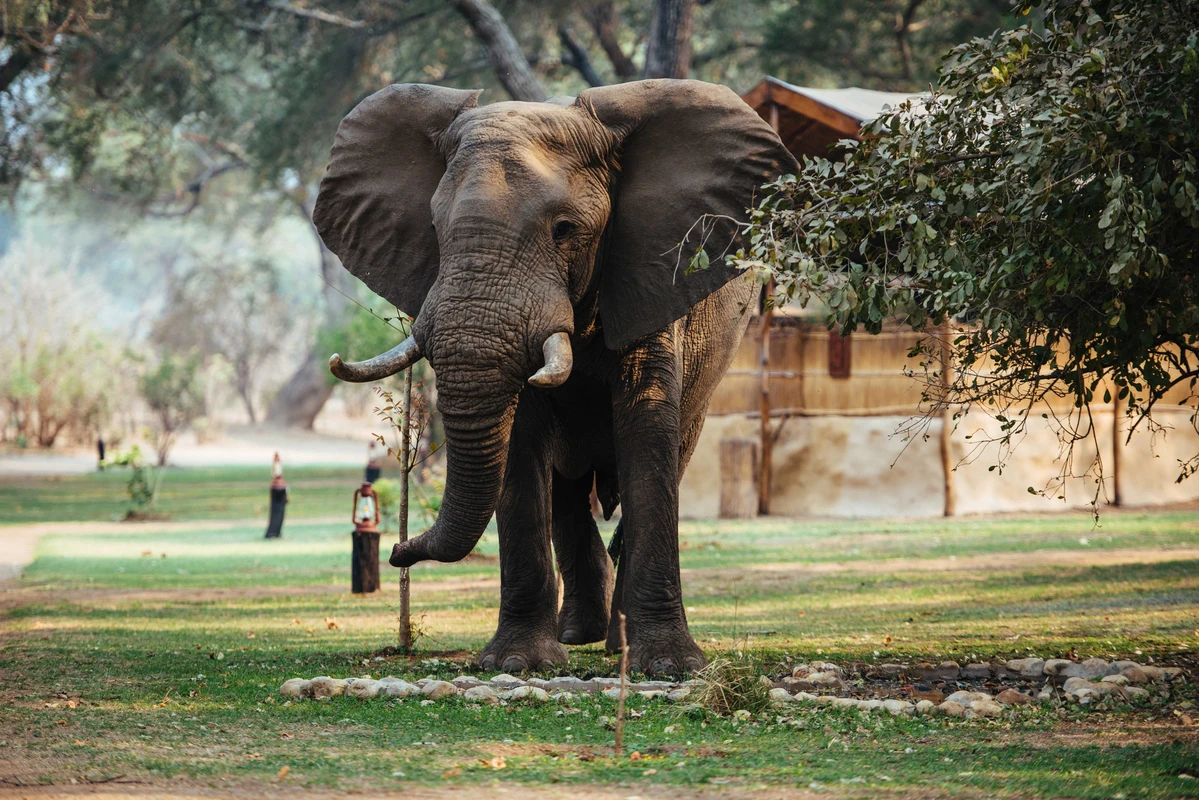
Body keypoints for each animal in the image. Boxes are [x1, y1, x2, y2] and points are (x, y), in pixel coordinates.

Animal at [313, 79, 796, 675]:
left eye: (565, 230)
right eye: (433, 229)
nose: (397, 550)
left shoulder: (650, 274)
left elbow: (646, 432)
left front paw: (669, 668)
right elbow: (521, 444)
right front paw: (516, 663)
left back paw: (614, 644)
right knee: (565, 492)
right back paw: (577, 635)